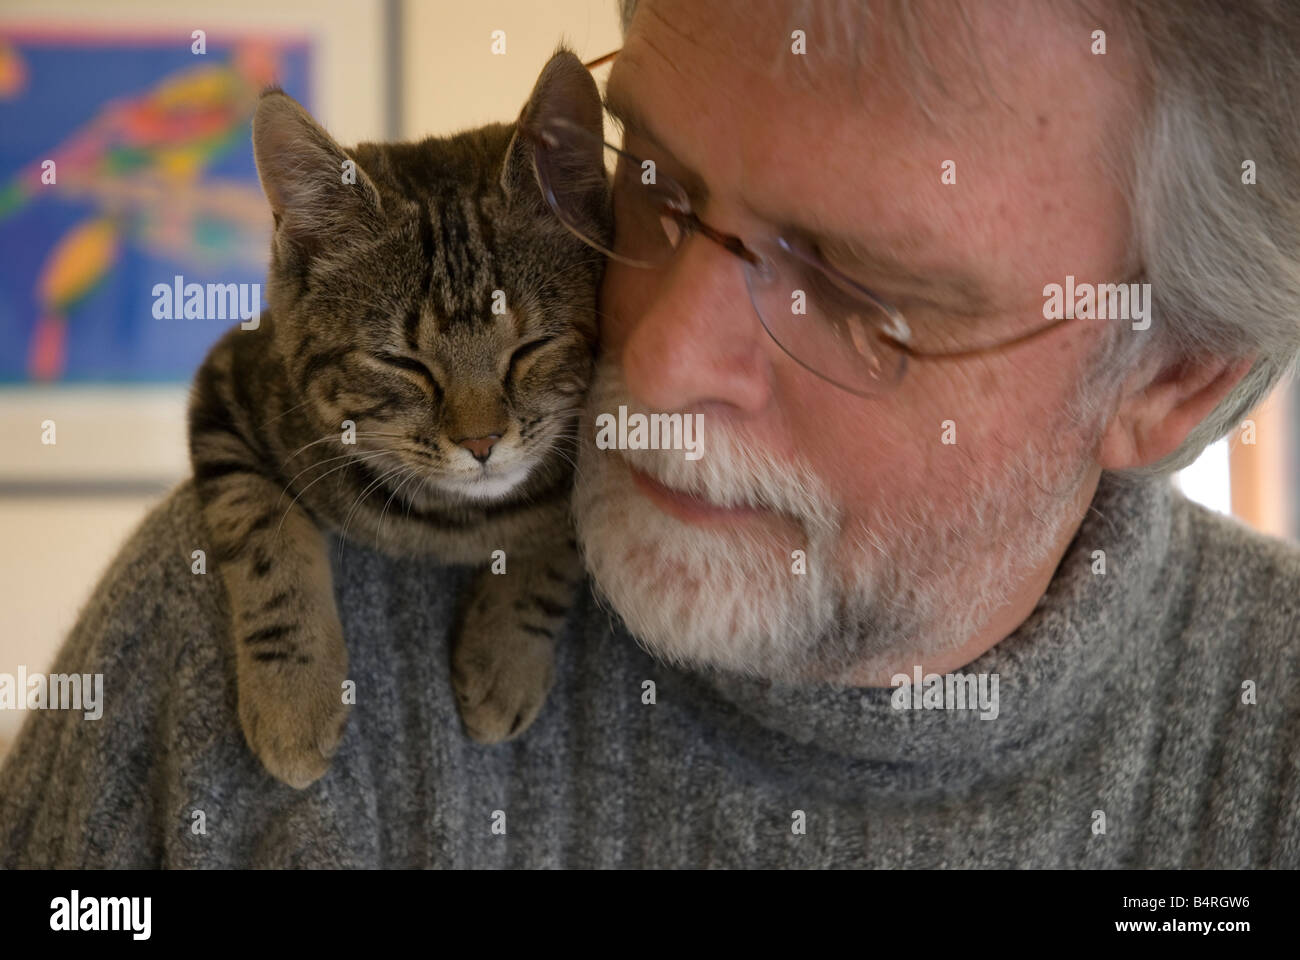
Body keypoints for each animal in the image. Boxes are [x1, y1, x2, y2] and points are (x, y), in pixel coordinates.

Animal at [187, 48, 608, 785]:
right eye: (402, 362)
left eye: (532, 347)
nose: (481, 440)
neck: (459, 521)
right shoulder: (227, 384)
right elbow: (261, 527)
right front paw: (294, 694)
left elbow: (565, 536)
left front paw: (505, 652)